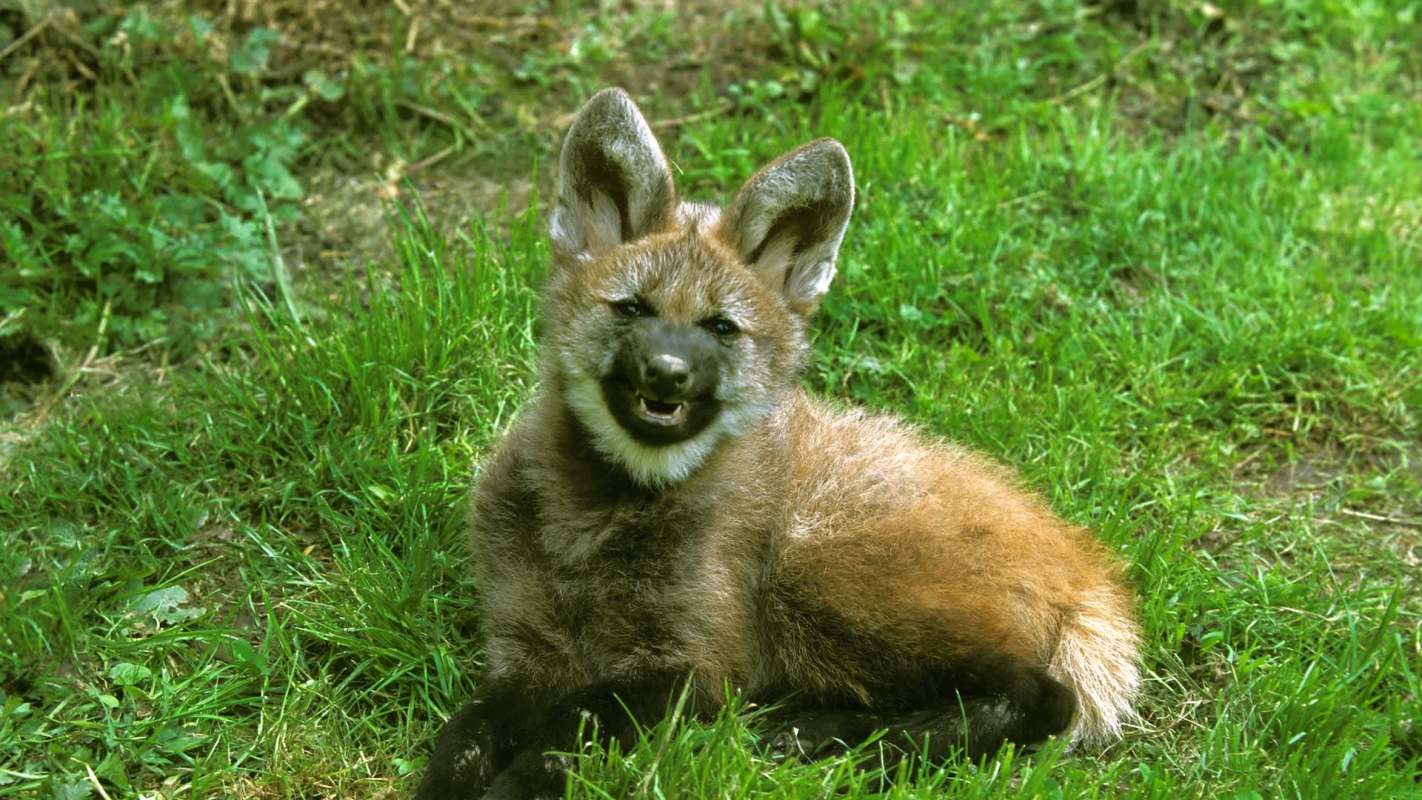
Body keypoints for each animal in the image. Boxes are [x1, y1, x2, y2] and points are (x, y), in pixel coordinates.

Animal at [416, 88, 1141, 799]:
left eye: (720, 326)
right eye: (633, 308)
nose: (667, 373)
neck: (594, 528)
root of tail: (1086, 567)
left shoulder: (697, 665)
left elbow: (573, 729)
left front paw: (517, 782)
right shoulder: (524, 648)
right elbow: (467, 734)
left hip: (813, 564)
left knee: (1045, 696)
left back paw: (848, 747)